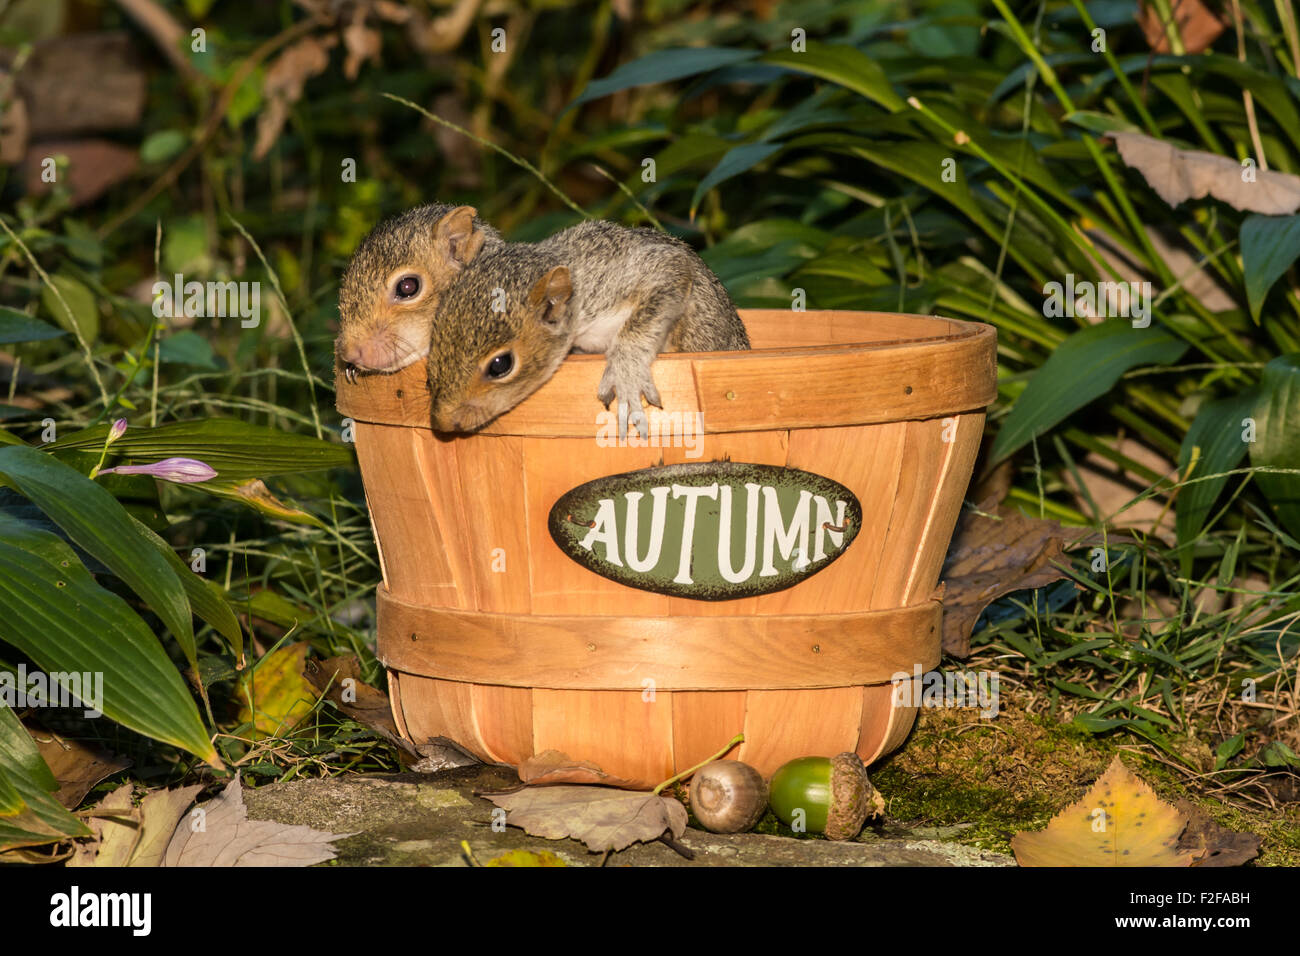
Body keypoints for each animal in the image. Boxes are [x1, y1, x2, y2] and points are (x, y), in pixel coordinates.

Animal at [426, 220, 750, 439]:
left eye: (500, 365)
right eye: (433, 340)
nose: (442, 423)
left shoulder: (618, 278)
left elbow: (670, 269)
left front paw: (625, 370)